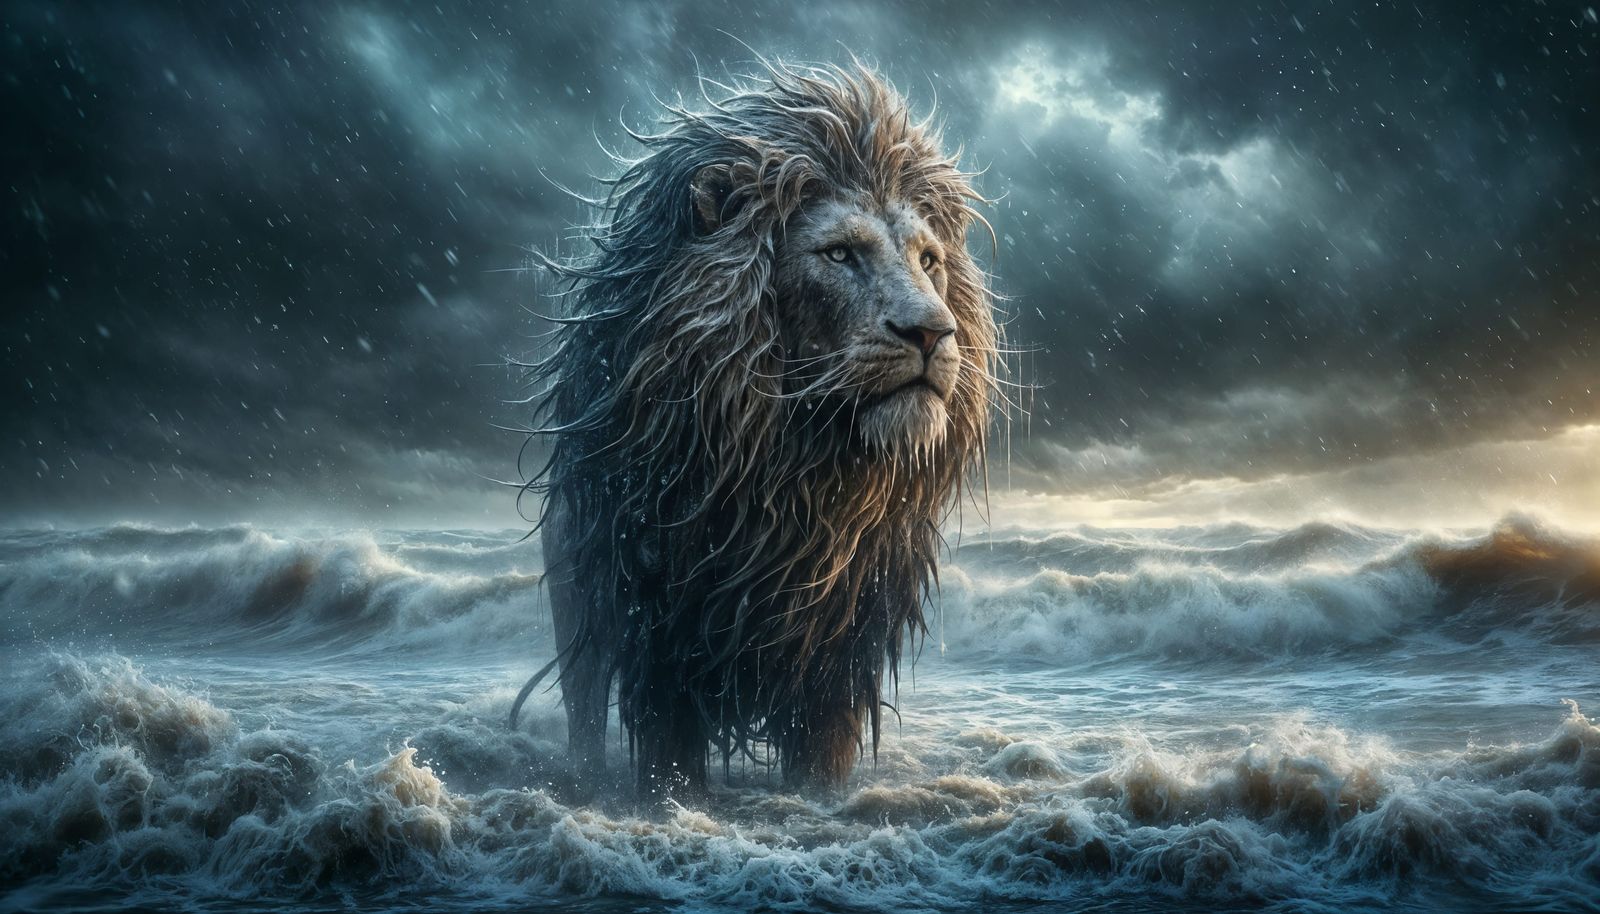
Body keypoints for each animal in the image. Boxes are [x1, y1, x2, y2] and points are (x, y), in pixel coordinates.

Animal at [511, 61, 1000, 796]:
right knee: (584, 713)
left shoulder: (840, 658)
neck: (792, 478)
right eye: (839, 255)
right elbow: (667, 758)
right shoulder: (657, 641)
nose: (933, 333)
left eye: (929, 260)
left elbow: (821, 760)